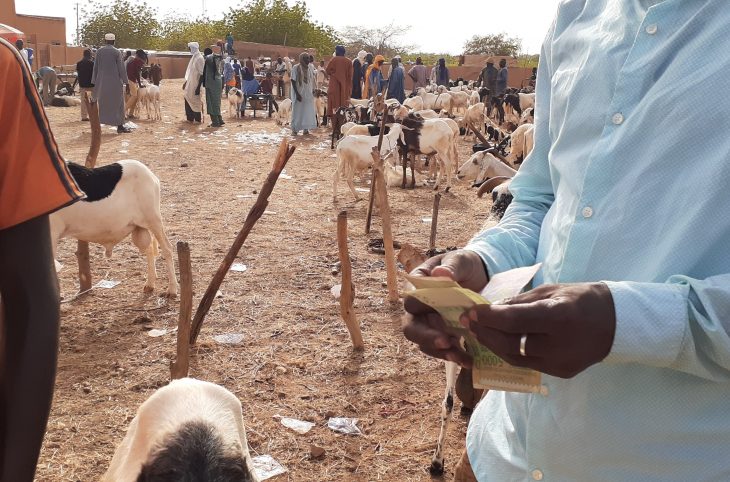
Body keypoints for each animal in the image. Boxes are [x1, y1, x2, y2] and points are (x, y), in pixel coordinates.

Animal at [51, 160, 178, 296]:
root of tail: (151, 175)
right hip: (139, 228)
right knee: (149, 249)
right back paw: (150, 284)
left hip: (154, 220)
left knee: (167, 249)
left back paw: (172, 289)